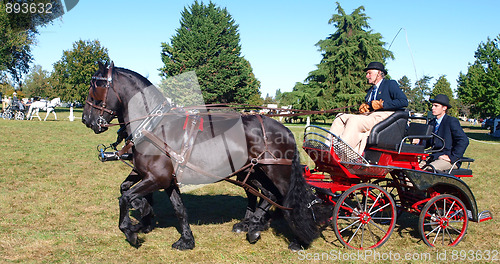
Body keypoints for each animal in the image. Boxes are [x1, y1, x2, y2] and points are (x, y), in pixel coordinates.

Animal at [83, 63, 328, 251]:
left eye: (96, 87)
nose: (87, 119)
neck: (154, 126)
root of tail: (284, 129)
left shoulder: (157, 178)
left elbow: (125, 197)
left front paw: (131, 230)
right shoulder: (164, 179)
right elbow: (176, 207)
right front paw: (182, 238)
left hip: (277, 173)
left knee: (292, 202)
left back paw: (297, 239)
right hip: (254, 172)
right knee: (268, 195)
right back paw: (253, 226)